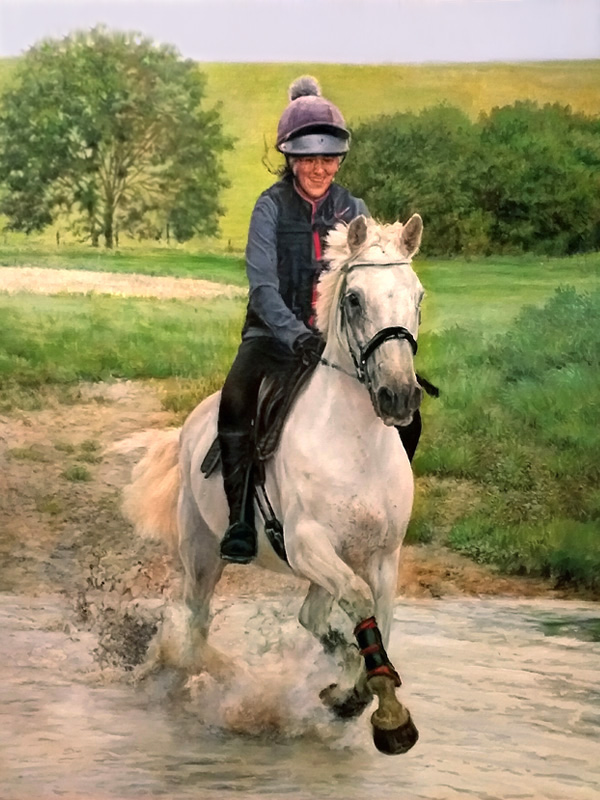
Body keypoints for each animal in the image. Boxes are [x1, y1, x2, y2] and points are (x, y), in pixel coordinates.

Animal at [122, 213, 425, 755]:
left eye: (417, 296)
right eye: (354, 299)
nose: (398, 395)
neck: (356, 443)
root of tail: (190, 424)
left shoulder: (382, 556)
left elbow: (379, 616)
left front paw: (352, 694)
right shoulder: (307, 544)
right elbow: (361, 604)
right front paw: (387, 713)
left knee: (311, 617)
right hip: (202, 554)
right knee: (196, 627)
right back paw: (202, 683)